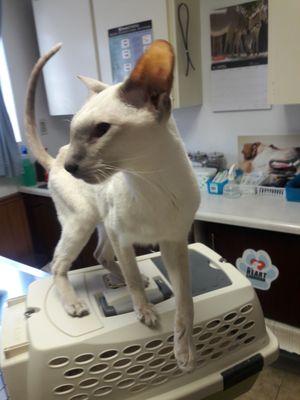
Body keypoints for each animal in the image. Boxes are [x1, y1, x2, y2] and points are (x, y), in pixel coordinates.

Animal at [25, 41, 199, 372]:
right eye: (74, 133)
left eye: (101, 130)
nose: (71, 166)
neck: (152, 182)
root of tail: (54, 158)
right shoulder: (124, 238)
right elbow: (131, 278)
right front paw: (145, 312)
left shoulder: (174, 242)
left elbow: (185, 301)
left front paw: (183, 354)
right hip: (84, 222)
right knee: (59, 264)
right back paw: (75, 304)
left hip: (103, 225)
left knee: (99, 255)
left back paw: (135, 278)